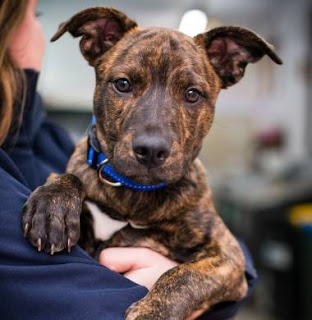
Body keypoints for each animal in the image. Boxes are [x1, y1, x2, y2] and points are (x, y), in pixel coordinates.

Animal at [22, 7, 282, 320]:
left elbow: (184, 276)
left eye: (192, 93)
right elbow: (67, 176)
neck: (133, 195)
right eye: (123, 84)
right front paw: (52, 210)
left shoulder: (228, 255)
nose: (151, 150)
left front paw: (154, 312)